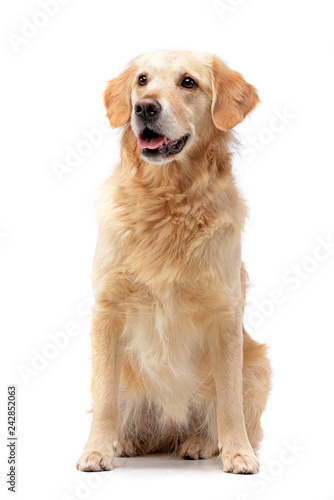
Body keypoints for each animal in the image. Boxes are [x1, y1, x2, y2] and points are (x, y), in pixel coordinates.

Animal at [76, 51, 272, 476]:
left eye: (188, 82)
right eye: (142, 80)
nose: (144, 107)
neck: (166, 200)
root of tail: (168, 434)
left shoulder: (224, 315)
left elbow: (228, 401)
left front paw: (238, 453)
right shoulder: (108, 309)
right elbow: (104, 396)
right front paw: (96, 450)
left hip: (257, 368)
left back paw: (199, 443)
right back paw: (127, 441)